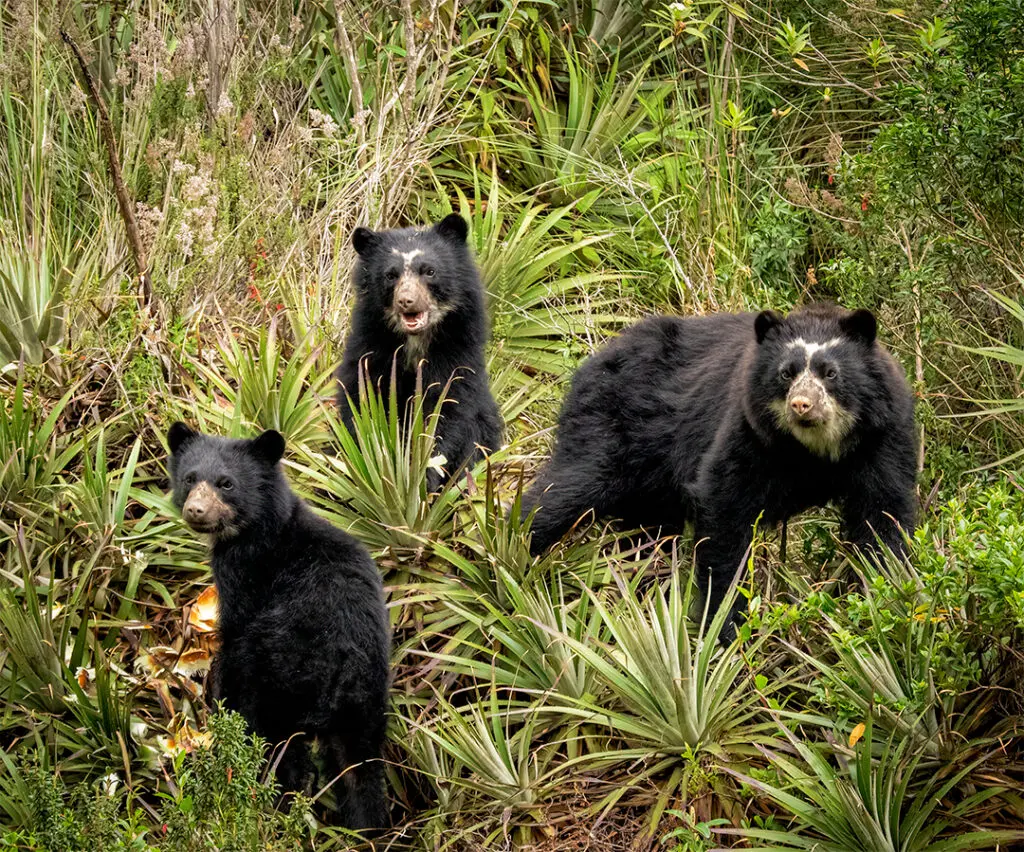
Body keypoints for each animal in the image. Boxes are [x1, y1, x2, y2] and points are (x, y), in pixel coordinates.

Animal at [167, 421, 391, 827]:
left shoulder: (246, 574)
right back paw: (365, 826)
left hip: (280, 675)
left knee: (276, 744)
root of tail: (339, 674)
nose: (196, 510)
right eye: (190, 478)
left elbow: (233, 631)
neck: (261, 526)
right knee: (360, 766)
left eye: (226, 483)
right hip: (367, 696)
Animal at [337, 215, 501, 491]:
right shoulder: (370, 349)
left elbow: (445, 410)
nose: (407, 301)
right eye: (390, 275)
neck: (415, 342)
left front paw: (424, 476)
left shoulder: (457, 355)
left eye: (429, 271)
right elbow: (361, 406)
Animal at [524, 307, 917, 639]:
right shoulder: (748, 431)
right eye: (786, 373)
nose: (801, 404)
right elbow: (726, 508)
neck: (813, 450)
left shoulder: (882, 437)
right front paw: (725, 627)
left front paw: (883, 600)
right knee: (567, 489)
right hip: (608, 427)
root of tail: (593, 362)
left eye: (830, 372)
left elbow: (883, 512)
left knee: (645, 537)